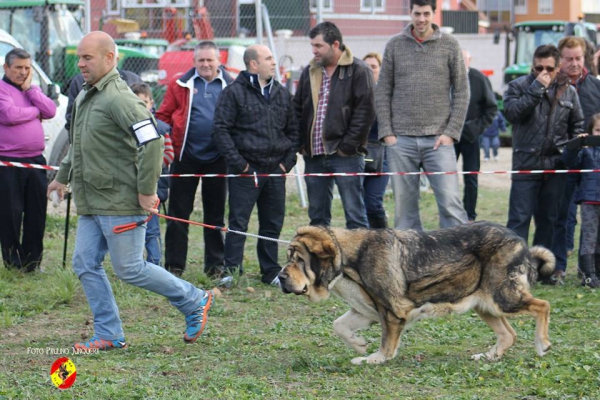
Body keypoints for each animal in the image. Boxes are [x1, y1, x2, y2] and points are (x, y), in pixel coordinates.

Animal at [278, 222, 556, 366]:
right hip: (485, 303)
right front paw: (358, 344)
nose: (280, 277)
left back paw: (542, 344)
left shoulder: (392, 312)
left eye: (299, 260)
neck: (349, 259)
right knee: (508, 334)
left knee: (543, 305)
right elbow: (339, 325)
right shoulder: (366, 311)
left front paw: (375, 358)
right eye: (288, 258)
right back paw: (487, 356)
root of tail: (520, 241)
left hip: (503, 296)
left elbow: (386, 344)